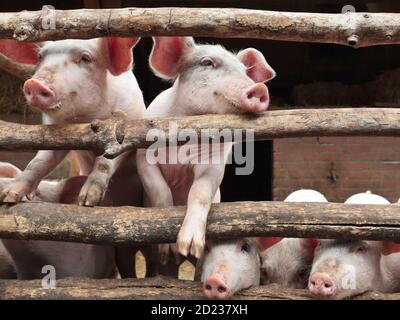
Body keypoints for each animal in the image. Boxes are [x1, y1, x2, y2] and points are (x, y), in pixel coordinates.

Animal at [0, 37, 145, 206]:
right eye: (40, 57)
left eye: (86, 58)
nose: (34, 84)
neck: (85, 118)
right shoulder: (55, 134)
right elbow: (38, 162)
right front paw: (9, 195)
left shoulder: (126, 128)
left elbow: (105, 162)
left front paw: (87, 200)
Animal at [137, 36, 276, 268]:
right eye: (207, 62)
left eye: (244, 71)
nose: (258, 88)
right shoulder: (142, 158)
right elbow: (161, 191)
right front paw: (167, 249)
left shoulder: (213, 164)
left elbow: (199, 192)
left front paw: (190, 247)